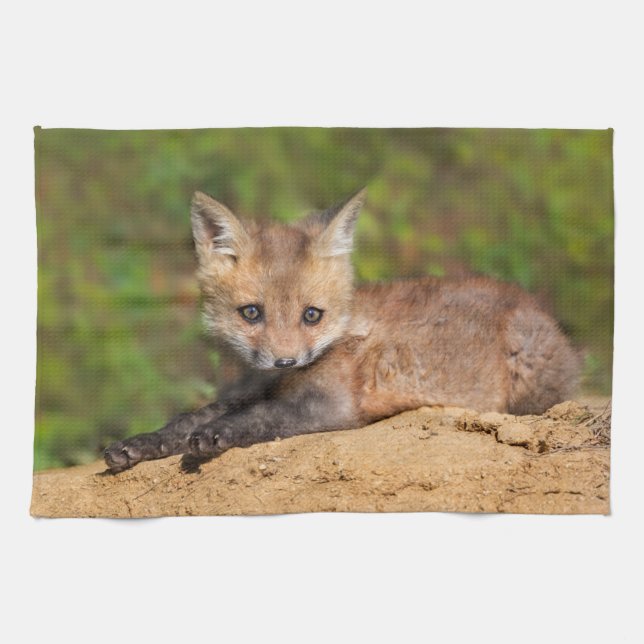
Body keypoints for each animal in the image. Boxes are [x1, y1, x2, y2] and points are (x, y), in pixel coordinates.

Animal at [104, 188, 580, 473]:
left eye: (311, 315)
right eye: (251, 313)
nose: (286, 361)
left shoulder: (332, 406)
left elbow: (259, 418)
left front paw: (215, 436)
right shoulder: (251, 387)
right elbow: (189, 416)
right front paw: (141, 443)